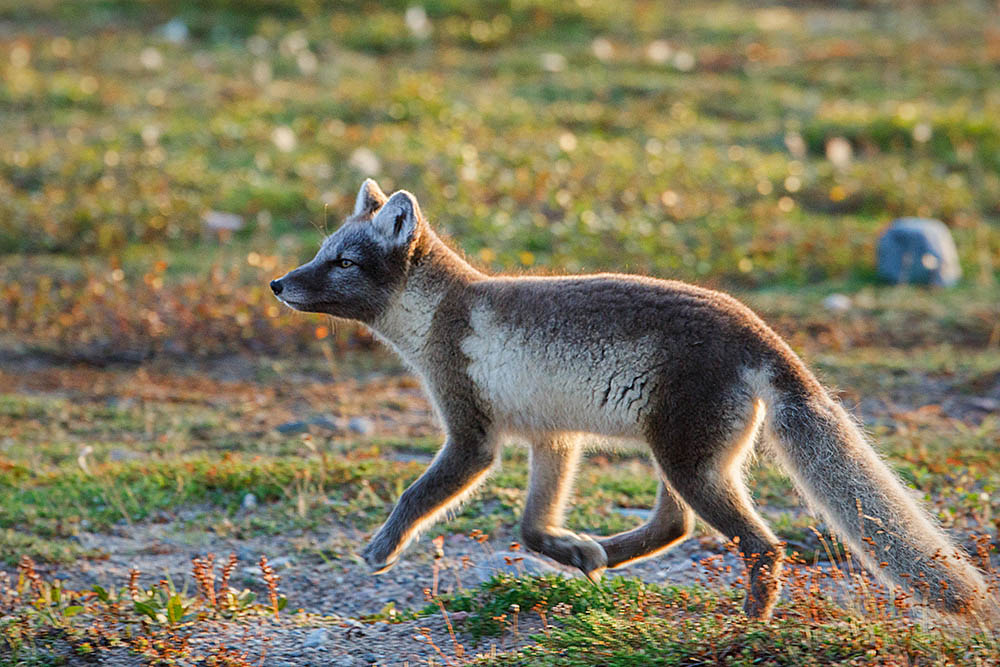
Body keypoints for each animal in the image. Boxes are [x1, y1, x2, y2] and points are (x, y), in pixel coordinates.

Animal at [272, 179, 992, 620]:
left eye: (343, 261)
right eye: (321, 250)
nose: (278, 283)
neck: (440, 313)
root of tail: (757, 330)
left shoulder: (473, 437)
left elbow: (418, 495)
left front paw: (381, 549)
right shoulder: (553, 438)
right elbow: (530, 527)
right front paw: (573, 551)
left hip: (688, 462)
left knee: (761, 545)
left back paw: (751, 623)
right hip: (683, 459)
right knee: (677, 527)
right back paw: (604, 555)